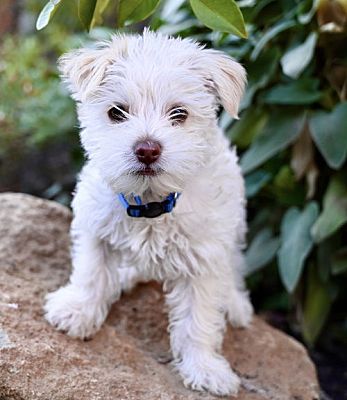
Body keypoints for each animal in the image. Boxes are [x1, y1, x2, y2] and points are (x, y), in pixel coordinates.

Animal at [44, 29, 254, 396]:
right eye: (117, 112)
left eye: (179, 114)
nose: (147, 149)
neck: (150, 202)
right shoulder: (95, 228)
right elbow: (91, 272)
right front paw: (77, 311)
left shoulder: (204, 260)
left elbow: (198, 320)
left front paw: (205, 369)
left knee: (234, 269)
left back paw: (235, 304)